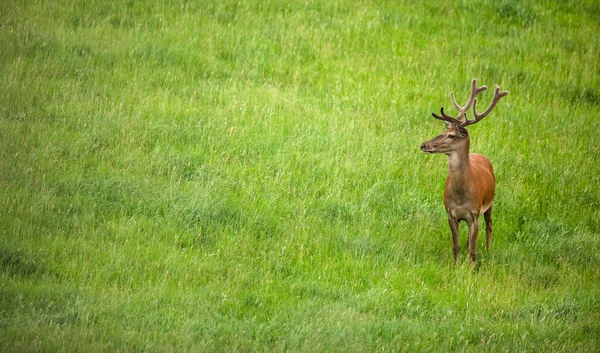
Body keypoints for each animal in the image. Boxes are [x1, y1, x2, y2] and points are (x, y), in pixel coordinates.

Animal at [420, 78, 508, 266]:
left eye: (451, 136)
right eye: (443, 131)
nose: (423, 145)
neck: (461, 195)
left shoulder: (474, 214)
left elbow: (474, 250)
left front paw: (473, 268)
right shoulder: (451, 213)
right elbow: (456, 245)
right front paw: (455, 266)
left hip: (490, 203)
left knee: (489, 226)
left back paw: (488, 251)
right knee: (468, 238)